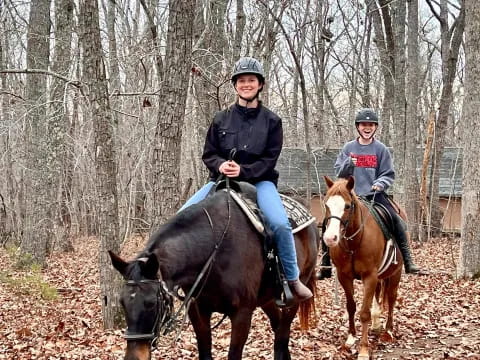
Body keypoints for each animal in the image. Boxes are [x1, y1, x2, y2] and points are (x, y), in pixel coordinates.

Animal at [109, 187, 318, 360]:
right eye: (122, 302)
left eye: (152, 303)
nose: (134, 358)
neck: (215, 250)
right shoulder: (198, 311)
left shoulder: (242, 314)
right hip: (267, 299)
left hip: (297, 293)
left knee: (282, 336)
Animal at [320, 176, 404, 360]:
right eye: (326, 204)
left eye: (347, 206)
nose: (330, 238)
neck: (354, 242)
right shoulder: (344, 276)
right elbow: (351, 306)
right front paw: (351, 338)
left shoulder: (369, 276)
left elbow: (364, 313)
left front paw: (364, 349)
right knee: (379, 296)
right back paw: (377, 324)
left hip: (396, 273)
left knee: (392, 298)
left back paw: (388, 331)